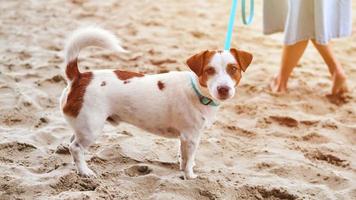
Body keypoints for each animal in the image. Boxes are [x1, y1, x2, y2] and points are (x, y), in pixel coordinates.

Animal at [59, 27, 253, 180]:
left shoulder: (184, 138)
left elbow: (184, 158)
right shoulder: (191, 137)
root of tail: (79, 77)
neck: (196, 90)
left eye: (233, 69)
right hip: (91, 128)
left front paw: (184, 168)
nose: (223, 89)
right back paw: (85, 172)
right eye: (209, 70)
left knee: (71, 143)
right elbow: (189, 159)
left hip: (82, 125)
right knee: (75, 147)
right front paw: (190, 176)